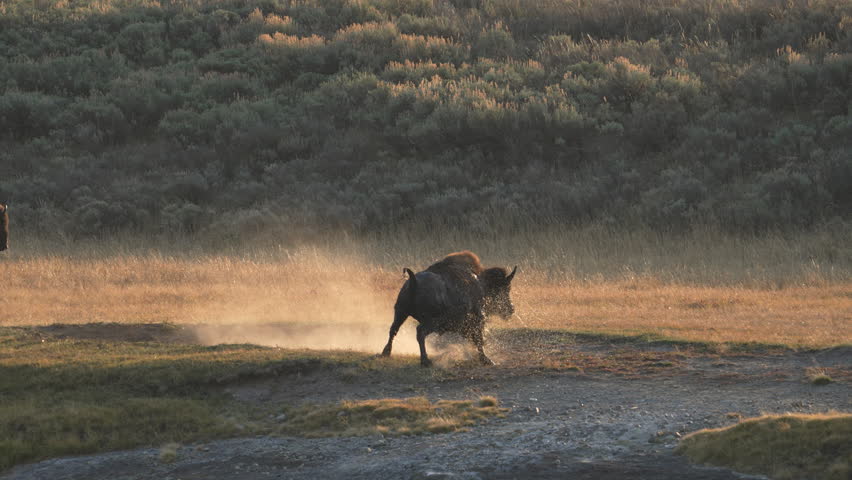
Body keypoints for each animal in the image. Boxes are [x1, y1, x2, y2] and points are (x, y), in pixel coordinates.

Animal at [380, 251, 517, 367]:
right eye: (504, 288)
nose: (511, 309)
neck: (481, 284)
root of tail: (414, 282)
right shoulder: (477, 319)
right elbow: (478, 339)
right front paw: (487, 360)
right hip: (431, 321)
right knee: (420, 332)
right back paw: (425, 361)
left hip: (400, 312)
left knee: (393, 330)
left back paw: (386, 353)